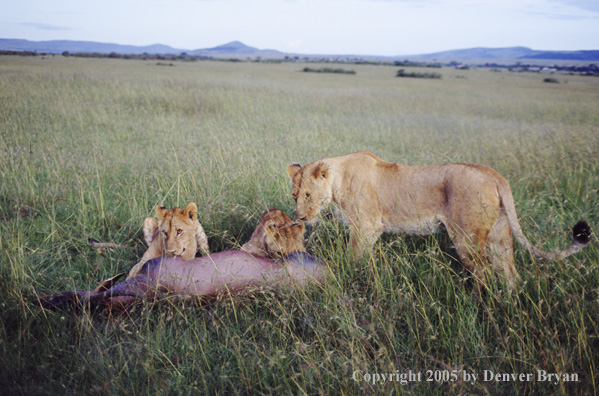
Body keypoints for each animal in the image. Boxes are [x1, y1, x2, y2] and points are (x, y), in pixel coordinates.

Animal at [288, 152, 592, 288]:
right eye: (294, 195)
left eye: (308, 194)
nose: (300, 217)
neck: (338, 179)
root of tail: (494, 174)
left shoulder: (367, 226)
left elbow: (355, 256)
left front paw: (351, 276)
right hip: (499, 234)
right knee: (510, 274)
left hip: (466, 238)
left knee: (484, 274)